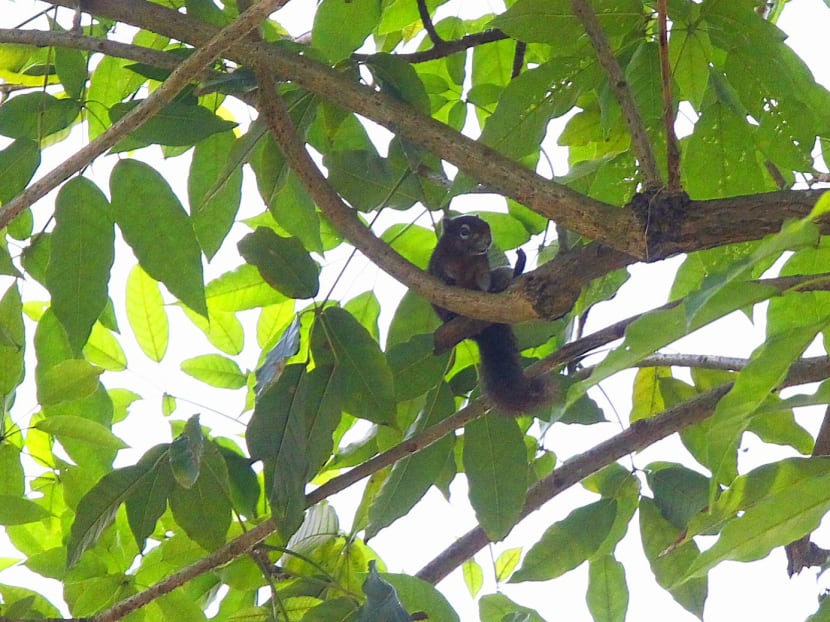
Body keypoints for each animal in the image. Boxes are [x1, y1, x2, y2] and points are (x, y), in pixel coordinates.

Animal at [428, 215, 554, 415]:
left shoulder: (481, 266)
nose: (487, 241)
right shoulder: (439, 259)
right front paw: (447, 278)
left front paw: (485, 289)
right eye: (464, 231)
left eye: (487, 226)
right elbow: (439, 271)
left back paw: (514, 272)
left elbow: (484, 279)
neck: (465, 256)